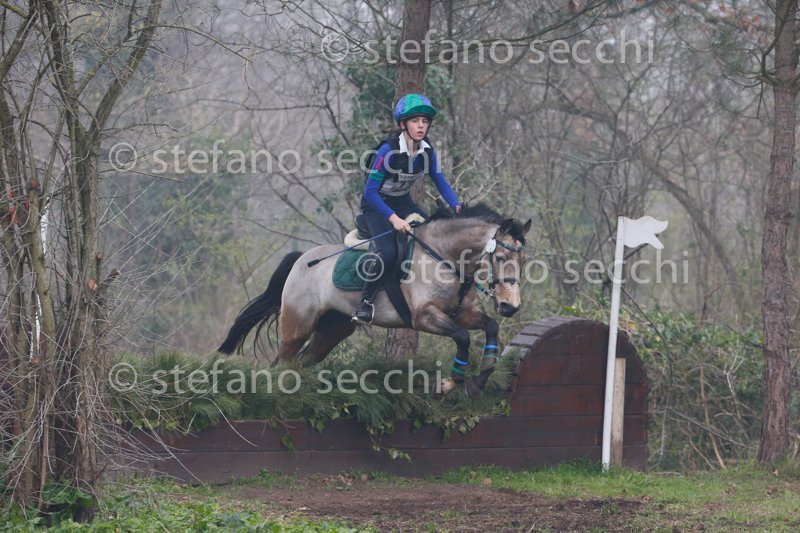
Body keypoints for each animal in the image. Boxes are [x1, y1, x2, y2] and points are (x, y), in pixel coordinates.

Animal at [218, 203, 531, 395]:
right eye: (500, 258)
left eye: (523, 260)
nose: (510, 306)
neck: (442, 255)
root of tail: (300, 260)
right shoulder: (424, 316)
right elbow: (463, 338)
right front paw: (448, 383)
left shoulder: (460, 314)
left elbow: (490, 327)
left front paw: (479, 379)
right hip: (297, 326)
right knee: (281, 363)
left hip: (334, 328)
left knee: (302, 361)